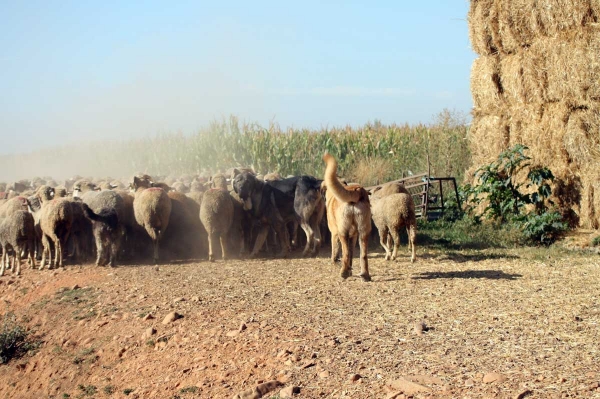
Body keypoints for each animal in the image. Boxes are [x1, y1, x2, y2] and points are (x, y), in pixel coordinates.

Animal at [322, 153, 372, 282]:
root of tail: (357, 190)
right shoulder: (353, 235)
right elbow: (352, 253)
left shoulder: (335, 234)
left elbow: (336, 253)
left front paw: (338, 264)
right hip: (364, 231)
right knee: (363, 255)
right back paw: (365, 275)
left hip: (342, 232)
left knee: (345, 253)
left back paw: (344, 272)